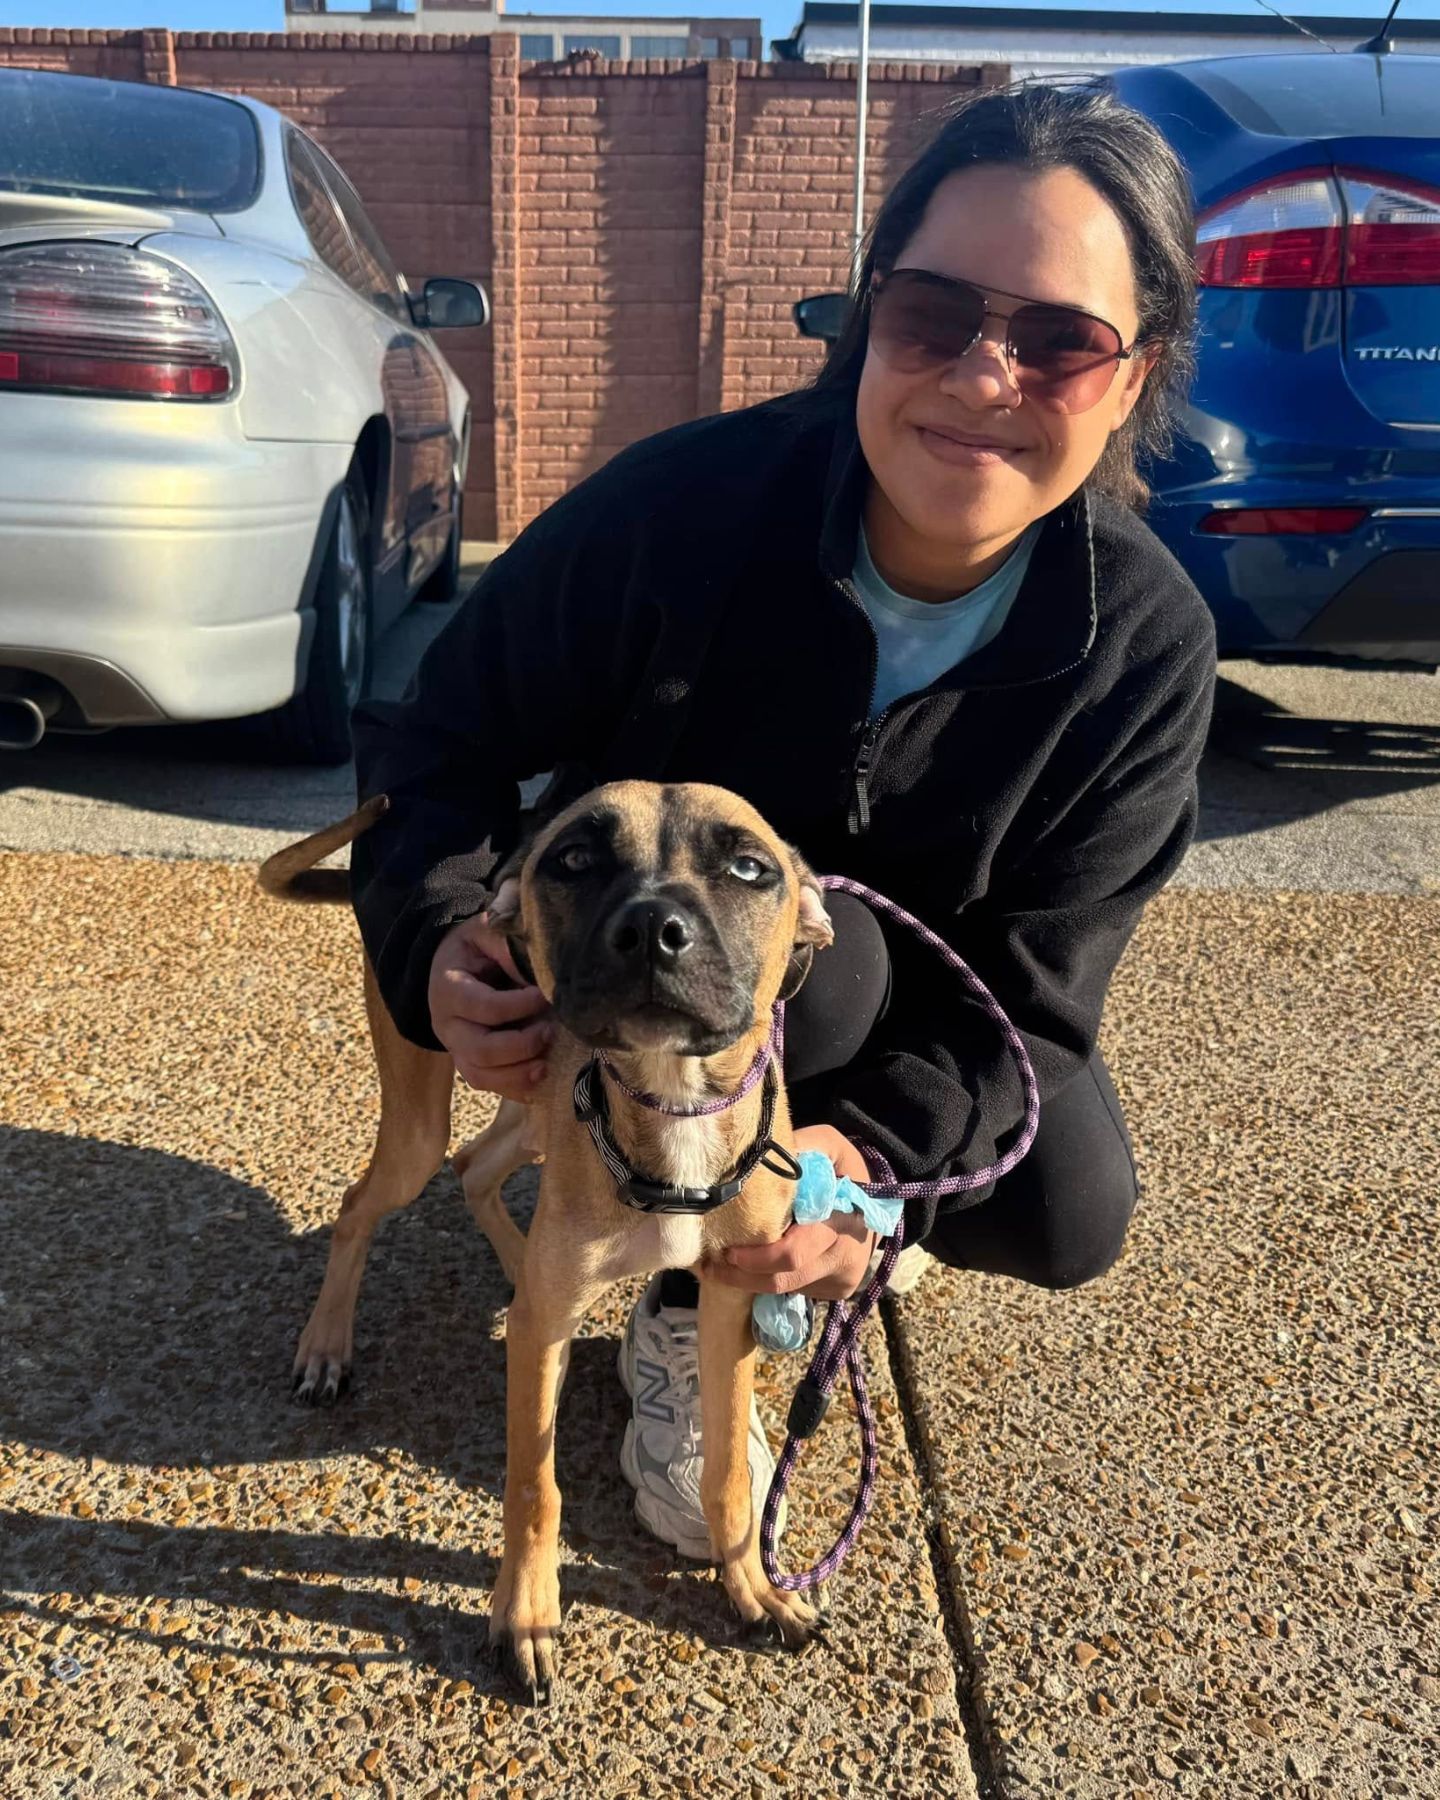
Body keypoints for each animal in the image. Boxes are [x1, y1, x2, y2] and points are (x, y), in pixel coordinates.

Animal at [261, 777, 831, 1699]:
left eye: (749, 868)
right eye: (574, 858)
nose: (653, 928)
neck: (671, 1106)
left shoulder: (729, 1302)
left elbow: (728, 1474)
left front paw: (752, 1586)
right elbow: (535, 1486)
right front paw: (525, 1614)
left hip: (530, 1116)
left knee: (478, 1174)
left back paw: (510, 1262)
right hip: (422, 1121)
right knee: (364, 1204)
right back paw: (327, 1345)